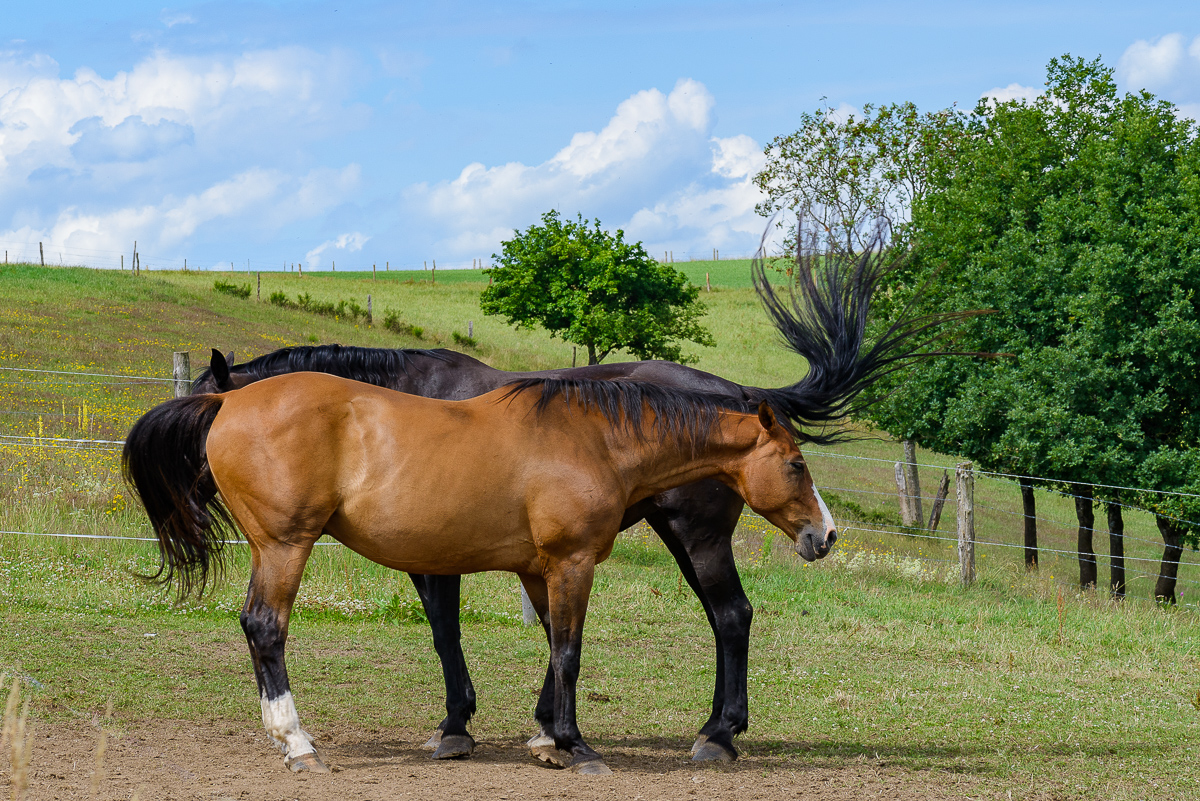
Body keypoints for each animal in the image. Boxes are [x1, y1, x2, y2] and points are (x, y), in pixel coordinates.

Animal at [124, 374, 835, 777]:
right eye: (796, 464)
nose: (825, 536)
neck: (596, 441)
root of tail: (226, 397)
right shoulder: (572, 561)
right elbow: (570, 651)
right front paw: (576, 748)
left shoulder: (540, 569)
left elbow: (553, 646)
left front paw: (546, 738)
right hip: (283, 546)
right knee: (266, 628)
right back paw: (297, 743)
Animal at [187, 245, 955, 762]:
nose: (190, 494)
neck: (392, 405)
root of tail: (733, 388)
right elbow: (515, 637)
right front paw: (519, 724)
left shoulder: (438, 559)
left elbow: (450, 635)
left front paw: (458, 726)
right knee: (725, 617)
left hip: (696, 536)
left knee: (732, 616)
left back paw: (718, 734)